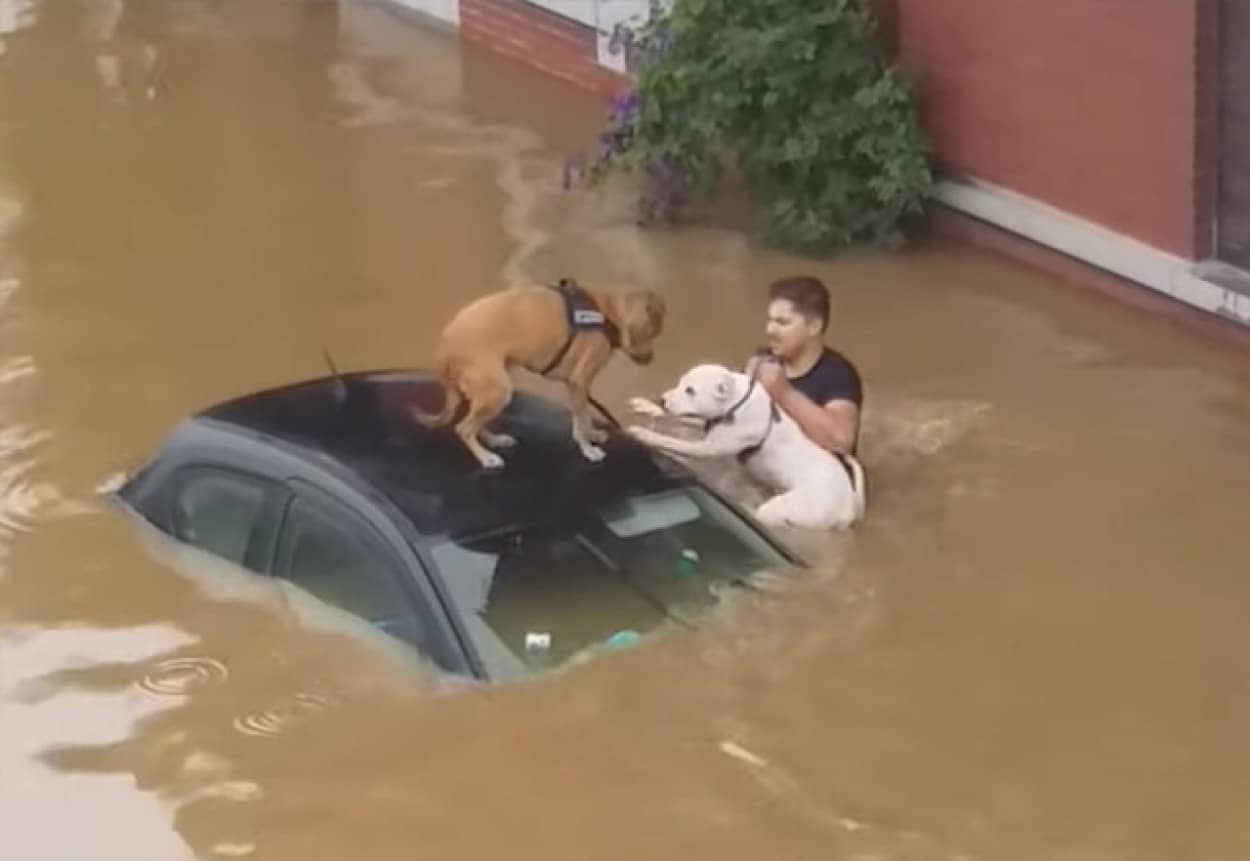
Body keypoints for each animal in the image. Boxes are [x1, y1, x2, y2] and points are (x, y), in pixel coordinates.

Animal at [410, 278, 670, 467]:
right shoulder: (580, 382)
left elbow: (581, 418)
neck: (605, 312)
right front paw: (588, 449)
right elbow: (582, 419)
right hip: (498, 389)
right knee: (464, 428)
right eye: (652, 332)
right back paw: (486, 458)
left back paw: (495, 440)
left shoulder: (574, 385)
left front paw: (591, 435)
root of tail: (444, 346)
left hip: (493, 388)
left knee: (475, 422)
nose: (650, 359)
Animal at [630, 359, 865, 527]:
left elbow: (671, 441)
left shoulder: (708, 447)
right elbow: (679, 418)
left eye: (691, 390)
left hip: (788, 509)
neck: (735, 402)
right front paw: (647, 406)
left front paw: (644, 434)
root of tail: (851, 503)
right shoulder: (708, 424)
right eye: (680, 383)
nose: (662, 399)